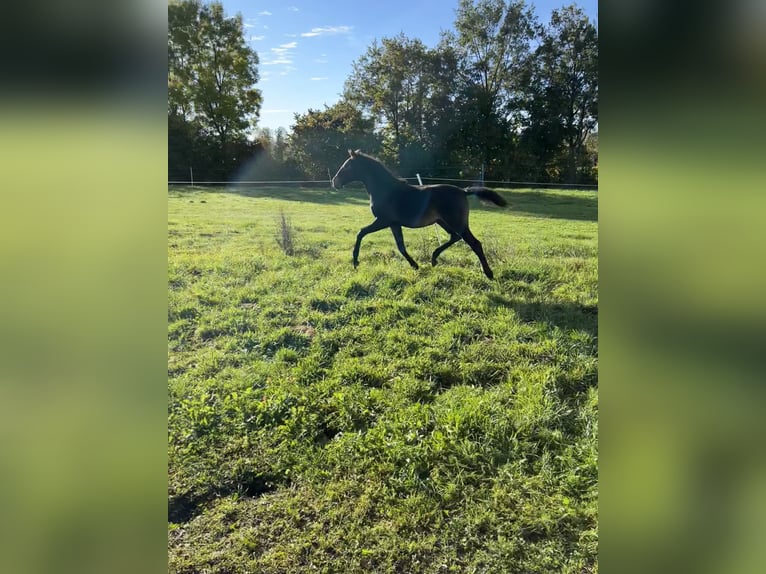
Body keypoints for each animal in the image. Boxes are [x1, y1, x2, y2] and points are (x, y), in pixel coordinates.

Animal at [332, 150, 508, 280]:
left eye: (347, 166)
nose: (334, 182)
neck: (385, 189)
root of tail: (463, 191)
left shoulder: (383, 220)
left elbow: (361, 232)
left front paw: (355, 261)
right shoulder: (394, 223)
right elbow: (401, 246)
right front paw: (415, 265)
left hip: (456, 222)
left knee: (474, 243)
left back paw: (489, 273)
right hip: (443, 221)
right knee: (455, 237)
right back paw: (434, 258)